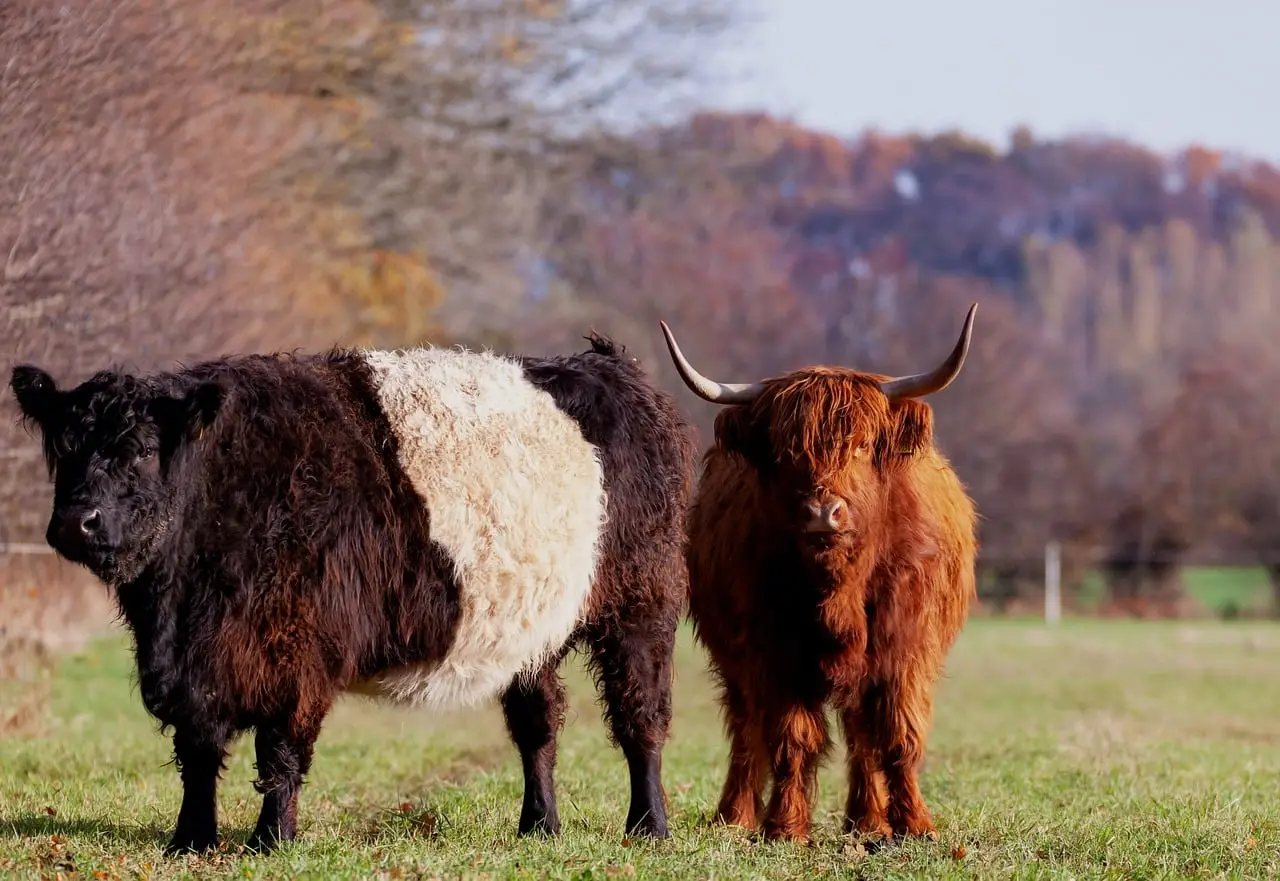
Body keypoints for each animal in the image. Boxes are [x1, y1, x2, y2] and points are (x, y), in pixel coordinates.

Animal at [9, 334, 695, 854]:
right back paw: (539, 826)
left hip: (642, 604)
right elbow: (198, 751)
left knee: (642, 719)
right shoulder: (195, 662)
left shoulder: (295, 651)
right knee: (539, 725)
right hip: (533, 628)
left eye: (145, 450)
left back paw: (648, 828)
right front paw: (191, 841)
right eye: (63, 449)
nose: (77, 521)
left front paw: (272, 841)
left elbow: (279, 753)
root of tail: (609, 364)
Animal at [657, 306, 978, 846]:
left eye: (863, 446)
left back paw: (866, 819)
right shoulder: (773, 651)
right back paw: (735, 816)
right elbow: (791, 737)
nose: (823, 513)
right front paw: (785, 828)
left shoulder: (905, 648)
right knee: (746, 726)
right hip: (735, 659)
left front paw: (915, 825)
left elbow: (899, 735)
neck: (837, 592)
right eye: (786, 454)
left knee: (862, 733)